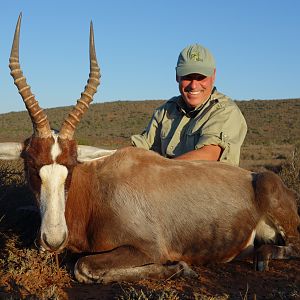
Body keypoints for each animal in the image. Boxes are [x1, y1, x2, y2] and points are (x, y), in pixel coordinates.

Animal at [0, 14, 300, 284]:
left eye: (71, 167)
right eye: (31, 165)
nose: (53, 239)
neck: (98, 188)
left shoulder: (147, 248)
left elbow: (83, 266)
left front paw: (182, 268)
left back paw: (262, 257)